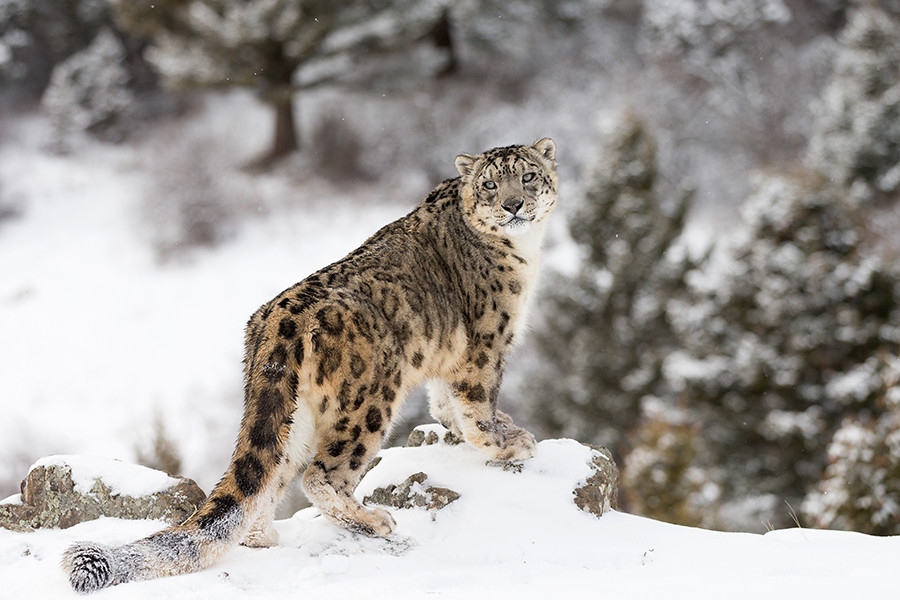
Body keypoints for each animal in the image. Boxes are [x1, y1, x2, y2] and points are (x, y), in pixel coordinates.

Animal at [61, 138, 556, 592]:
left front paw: (478, 428)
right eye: (490, 184)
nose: (513, 204)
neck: (525, 253)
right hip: (369, 401)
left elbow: (444, 403)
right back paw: (373, 520)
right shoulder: (486, 345)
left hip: (290, 414)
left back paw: (263, 536)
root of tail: (276, 320)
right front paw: (507, 444)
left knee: (270, 476)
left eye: (528, 176)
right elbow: (477, 406)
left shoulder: (448, 359)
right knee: (321, 475)